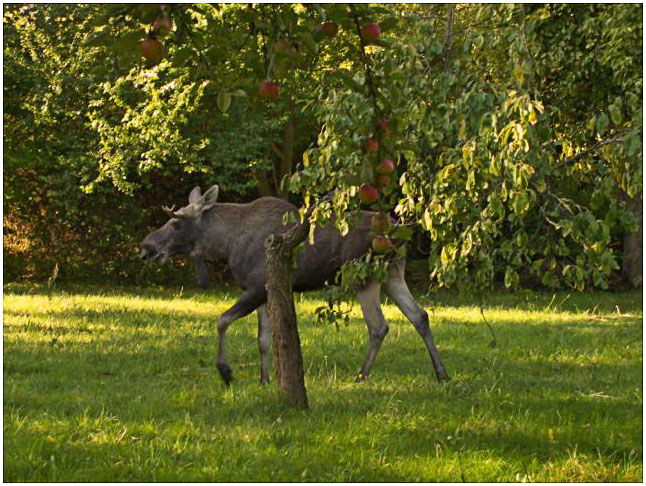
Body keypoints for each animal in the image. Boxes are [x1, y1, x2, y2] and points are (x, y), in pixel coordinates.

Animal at [139, 186, 448, 388]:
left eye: (176, 223)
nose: (146, 247)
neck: (225, 244)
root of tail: (401, 233)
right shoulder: (262, 291)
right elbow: (263, 339)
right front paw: (264, 379)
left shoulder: (255, 287)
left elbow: (222, 320)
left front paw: (225, 371)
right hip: (393, 275)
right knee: (420, 316)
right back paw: (441, 372)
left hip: (364, 276)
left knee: (378, 326)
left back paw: (361, 376)